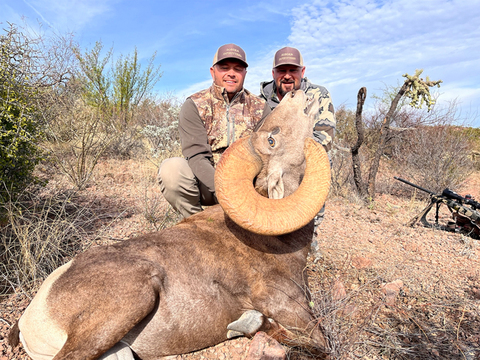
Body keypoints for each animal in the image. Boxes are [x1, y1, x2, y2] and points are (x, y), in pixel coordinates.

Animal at [8, 89, 330, 358]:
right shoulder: (289, 307)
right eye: (272, 139)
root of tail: (32, 317)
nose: (297, 93)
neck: (277, 243)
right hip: (133, 299)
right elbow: (317, 345)